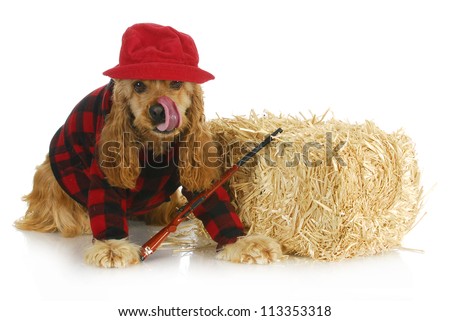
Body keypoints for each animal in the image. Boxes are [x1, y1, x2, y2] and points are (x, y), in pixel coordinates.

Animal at [14, 23, 282, 268]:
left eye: (176, 83)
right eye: (138, 85)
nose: (158, 111)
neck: (155, 144)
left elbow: (214, 202)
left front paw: (243, 243)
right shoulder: (105, 170)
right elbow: (106, 201)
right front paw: (112, 246)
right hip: (50, 180)